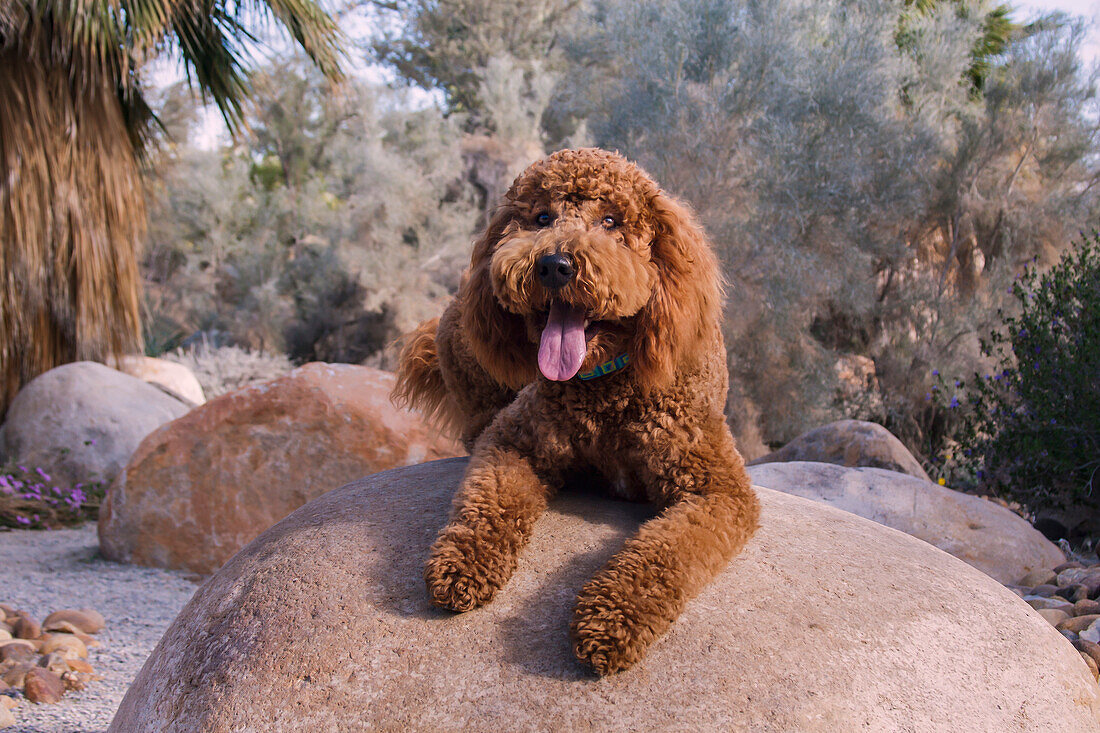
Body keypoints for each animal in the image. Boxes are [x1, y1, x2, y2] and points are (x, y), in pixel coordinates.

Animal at [391, 145, 761, 669]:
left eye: (611, 221)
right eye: (542, 217)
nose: (554, 264)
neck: (604, 390)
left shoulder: (717, 489)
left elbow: (667, 552)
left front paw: (611, 615)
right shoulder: (513, 439)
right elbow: (488, 501)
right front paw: (462, 560)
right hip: (463, 333)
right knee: (476, 421)